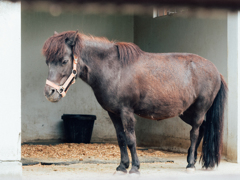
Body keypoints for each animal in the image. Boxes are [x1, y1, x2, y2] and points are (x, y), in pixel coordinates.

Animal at [43, 30, 229, 174]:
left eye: (64, 61)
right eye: (47, 62)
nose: (49, 92)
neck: (114, 69)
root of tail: (215, 70)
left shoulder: (127, 112)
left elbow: (131, 139)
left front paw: (134, 168)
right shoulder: (113, 113)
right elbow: (121, 139)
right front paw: (121, 167)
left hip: (199, 110)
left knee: (195, 133)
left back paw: (190, 164)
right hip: (186, 112)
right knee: (203, 128)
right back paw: (192, 161)